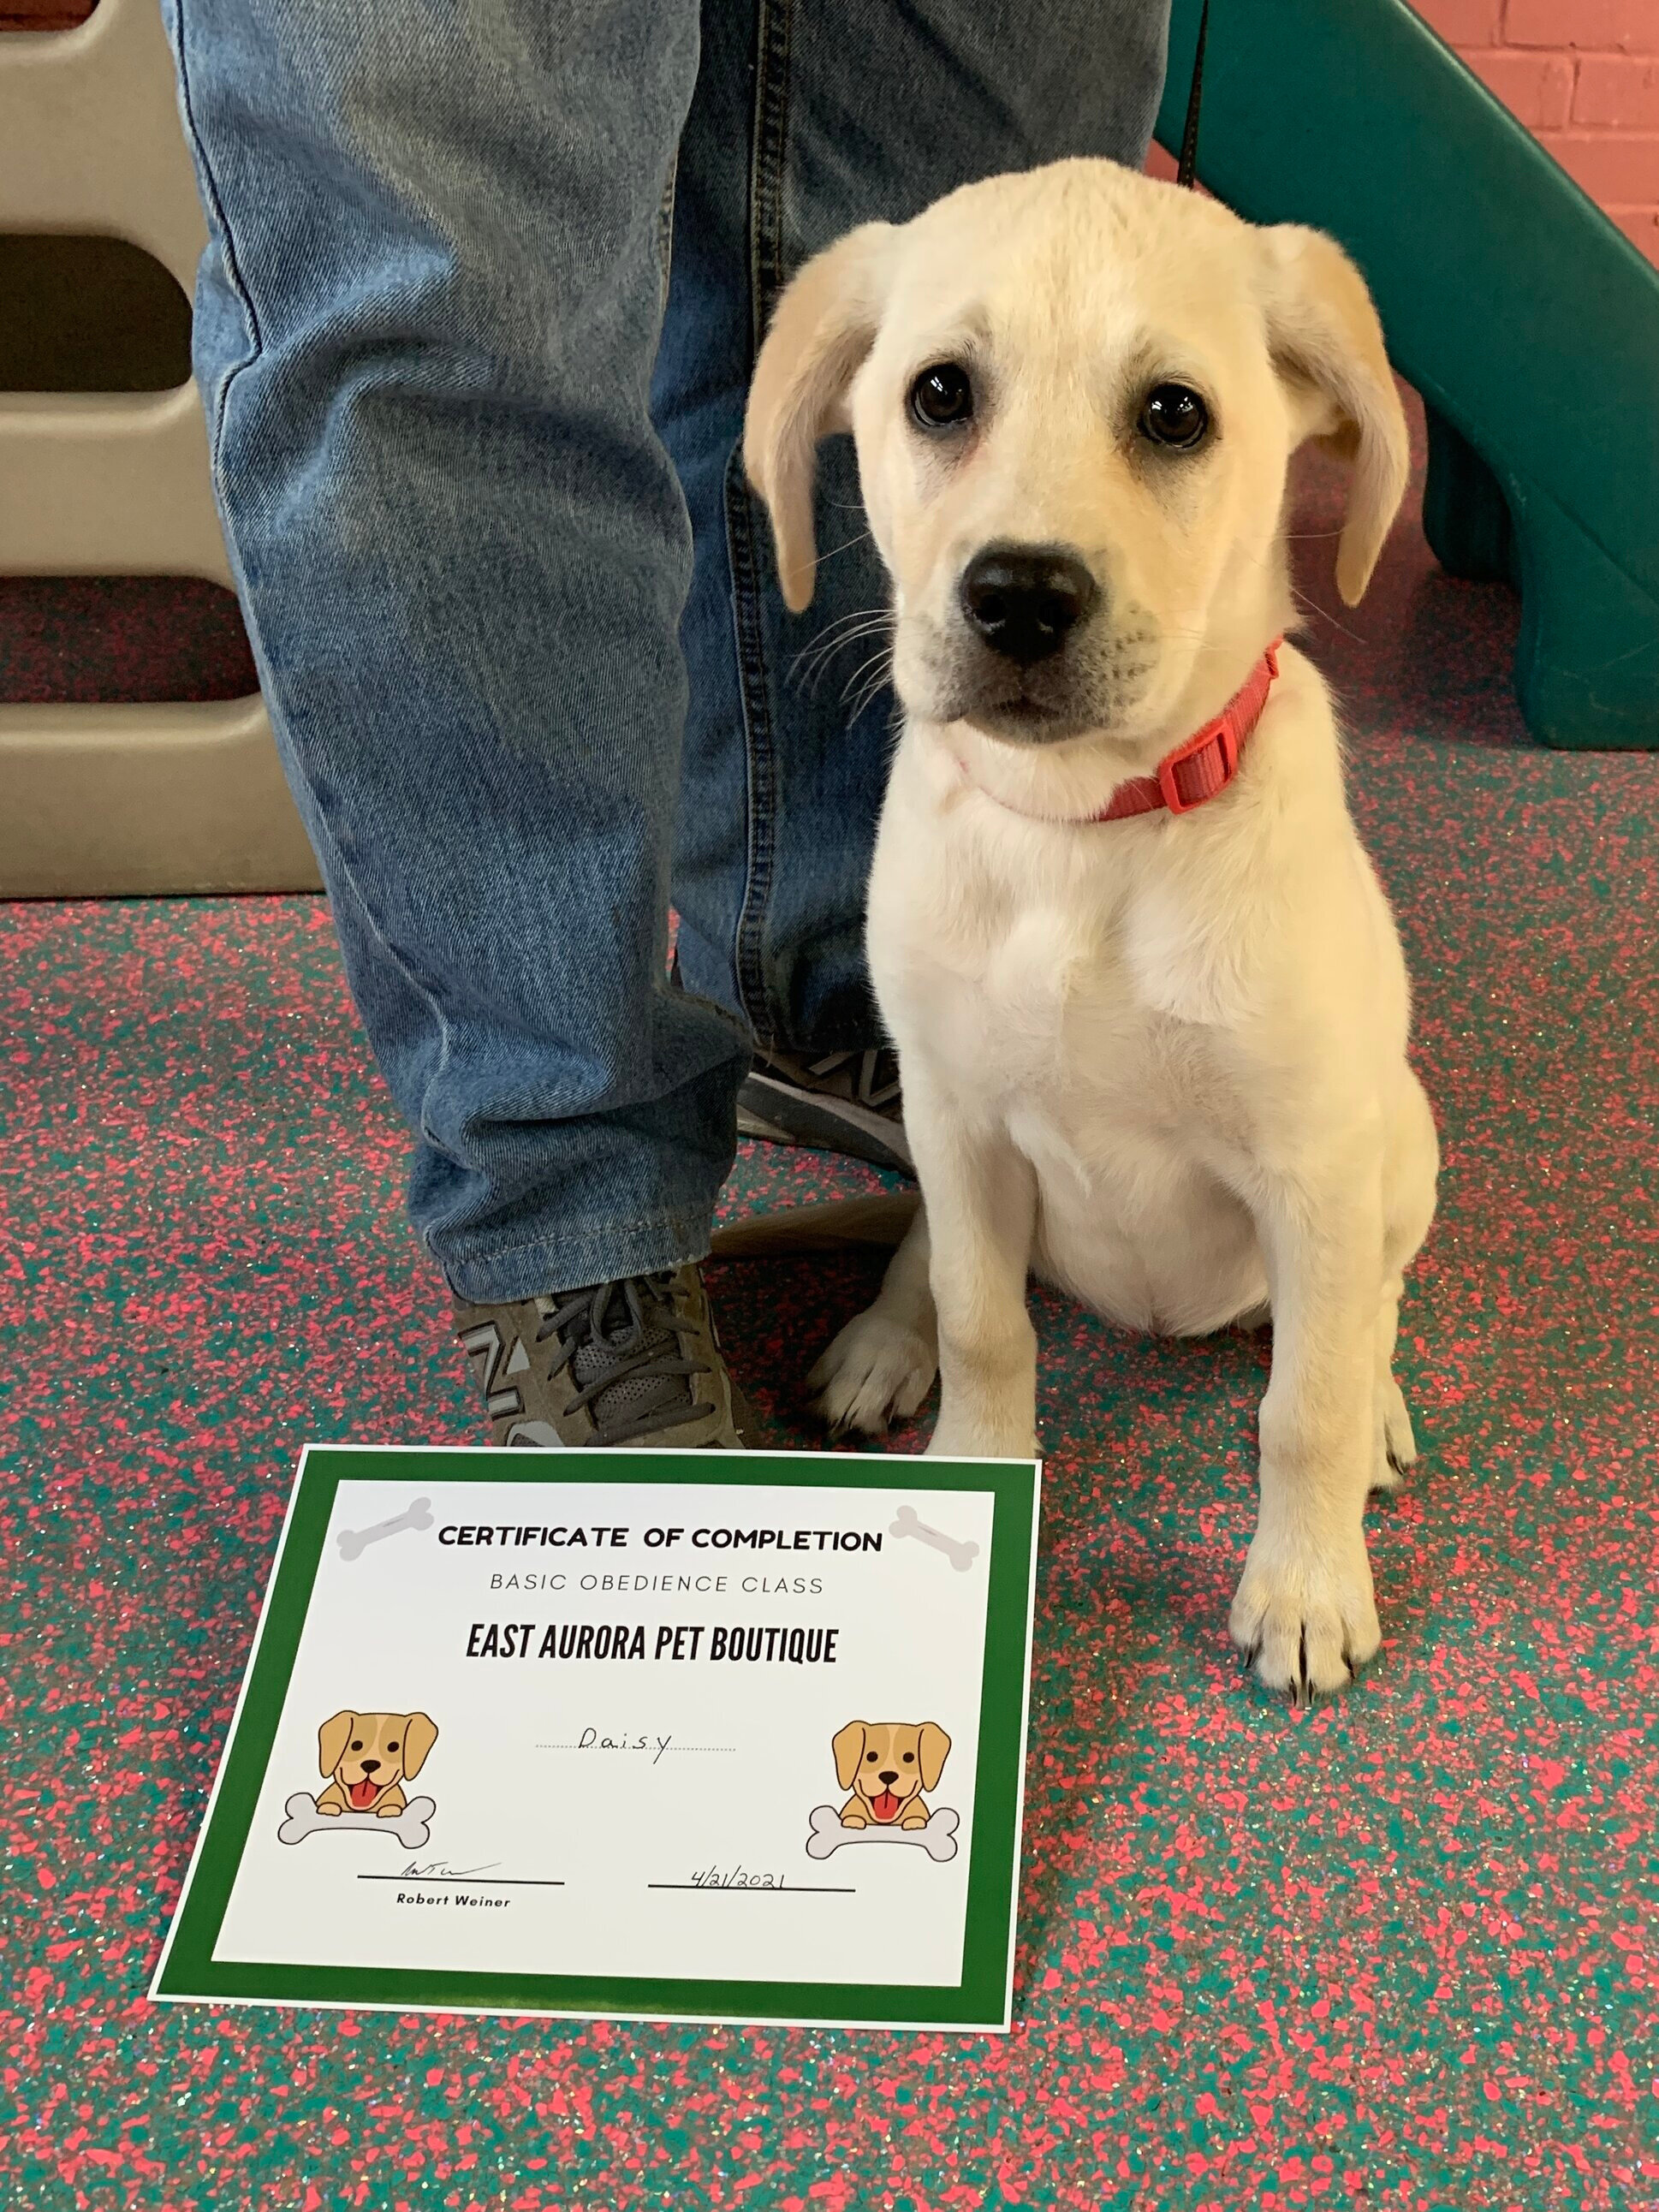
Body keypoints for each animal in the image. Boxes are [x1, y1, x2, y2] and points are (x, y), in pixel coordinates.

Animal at [747, 160, 1433, 1707]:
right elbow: (981, 1320)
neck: (1080, 834)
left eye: (1173, 413)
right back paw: (880, 1341)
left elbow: (1298, 1406)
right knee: (927, 1258)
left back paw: (1377, 1400)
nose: (1018, 595)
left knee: (1360, 1310)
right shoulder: (954, 1113)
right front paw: (971, 1467)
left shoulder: (1312, 1160)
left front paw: (1305, 1584)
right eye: (938, 393)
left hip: (1401, 1145)